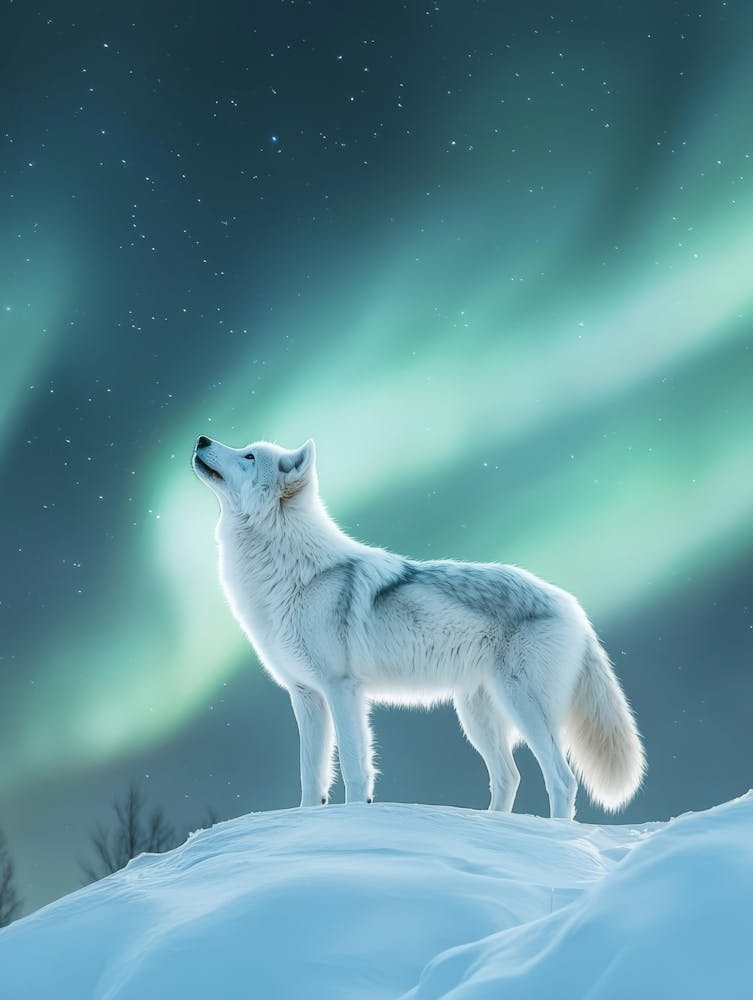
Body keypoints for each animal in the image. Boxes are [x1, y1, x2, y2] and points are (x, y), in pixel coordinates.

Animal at [193, 434, 645, 819]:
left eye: (250, 456)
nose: (200, 439)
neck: (289, 571)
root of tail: (572, 605)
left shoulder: (342, 689)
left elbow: (354, 769)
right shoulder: (306, 695)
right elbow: (311, 778)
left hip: (524, 708)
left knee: (562, 780)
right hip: (476, 717)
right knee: (509, 777)